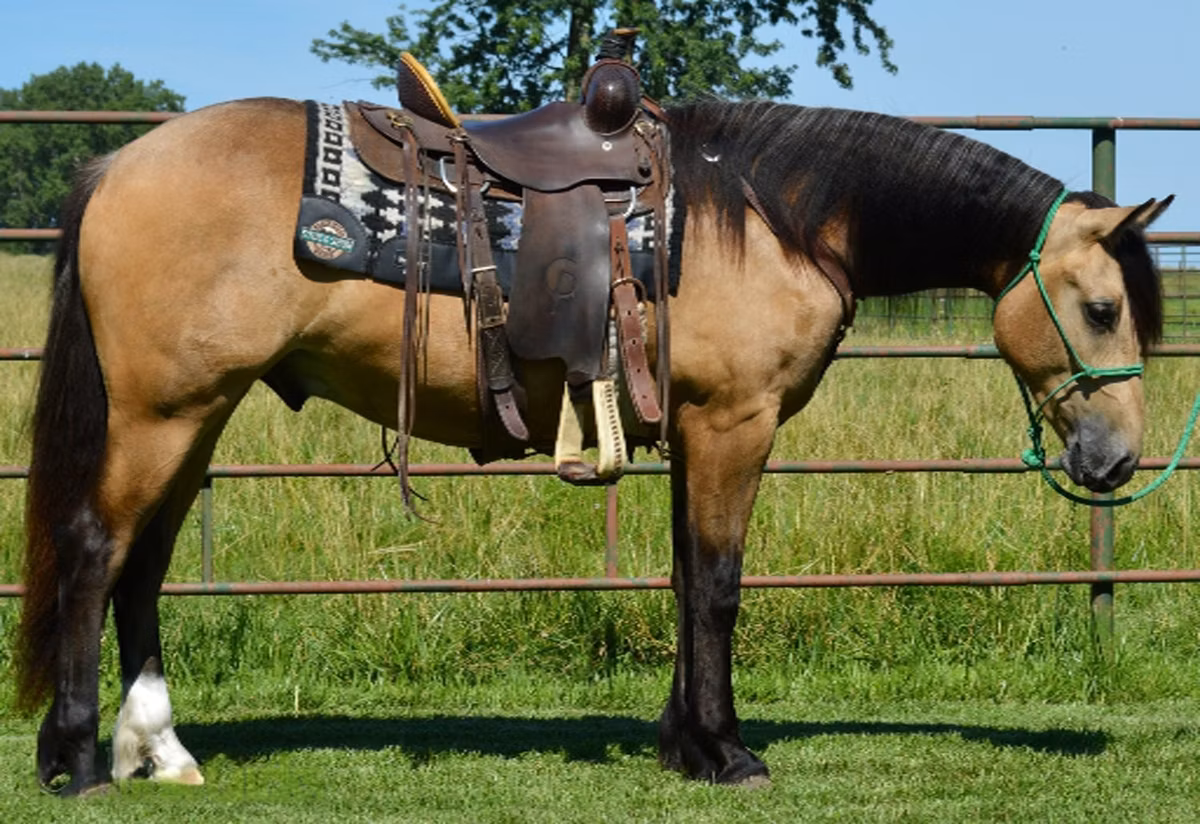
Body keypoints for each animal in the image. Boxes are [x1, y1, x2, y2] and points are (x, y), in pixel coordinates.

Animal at [14, 96, 1170, 796]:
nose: (1116, 460)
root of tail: (118, 159)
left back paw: (160, 749)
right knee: (93, 553)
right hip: (162, 413)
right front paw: (728, 751)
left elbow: (684, 578)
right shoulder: (734, 423)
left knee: (143, 568)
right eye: (1104, 307)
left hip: (195, 414)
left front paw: (682, 743)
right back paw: (77, 758)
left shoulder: (692, 427)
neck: (772, 216)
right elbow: (718, 587)